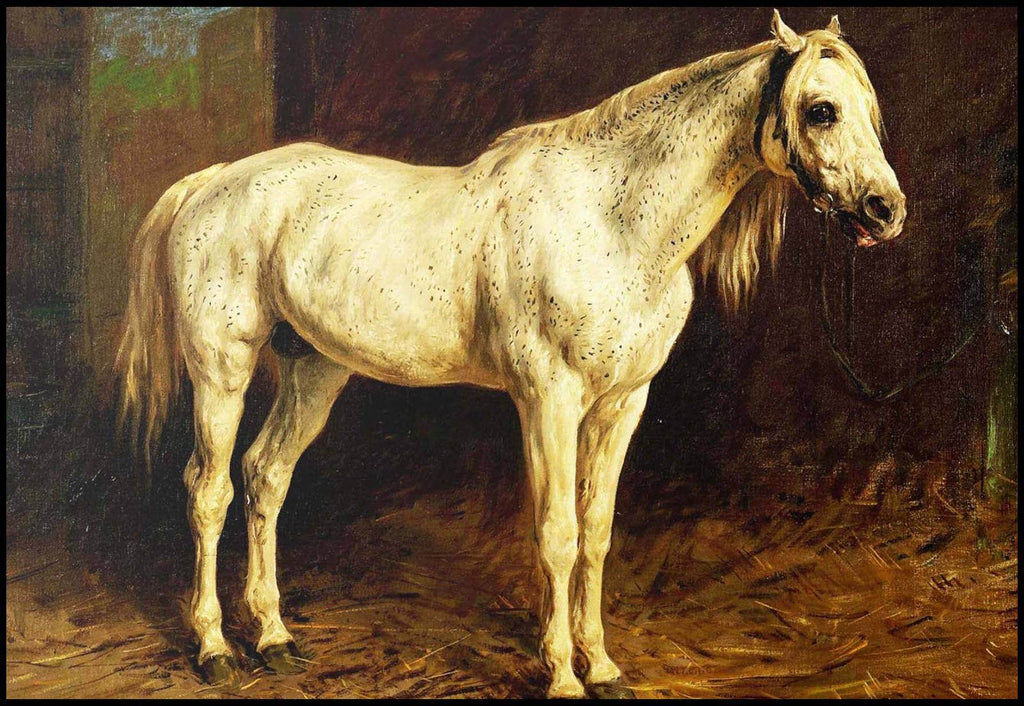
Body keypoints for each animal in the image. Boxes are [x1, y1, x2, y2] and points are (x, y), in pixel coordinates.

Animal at [116, 11, 905, 698]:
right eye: (822, 111)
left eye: (870, 110)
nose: (885, 210)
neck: (613, 222)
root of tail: (213, 181)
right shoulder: (549, 401)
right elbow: (556, 535)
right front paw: (562, 676)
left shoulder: (622, 405)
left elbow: (597, 533)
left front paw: (604, 668)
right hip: (223, 370)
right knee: (210, 489)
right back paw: (215, 650)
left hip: (316, 370)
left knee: (266, 476)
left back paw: (275, 640)